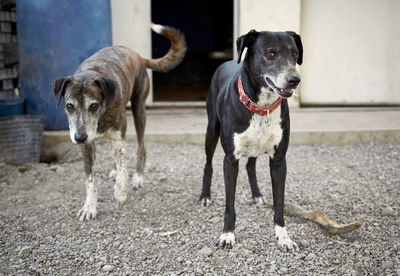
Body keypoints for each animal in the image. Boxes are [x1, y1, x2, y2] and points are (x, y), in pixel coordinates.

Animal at [51, 24, 186, 222]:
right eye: (69, 106)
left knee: (141, 148)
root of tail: (138, 56)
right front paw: (89, 207)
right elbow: (90, 180)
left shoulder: (118, 137)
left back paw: (138, 177)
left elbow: (123, 170)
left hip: (139, 110)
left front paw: (121, 193)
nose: (79, 137)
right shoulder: (88, 145)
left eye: (93, 105)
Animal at [200, 29, 304, 250]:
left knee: (250, 166)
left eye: (295, 53)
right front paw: (227, 235)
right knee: (208, 164)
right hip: (211, 130)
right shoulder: (230, 159)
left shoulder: (279, 160)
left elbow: (279, 202)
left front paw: (283, 237)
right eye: (270, 53)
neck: (261, 106)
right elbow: (230, 205)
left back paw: (256, 195)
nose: (294, 79)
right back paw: (205, 196)